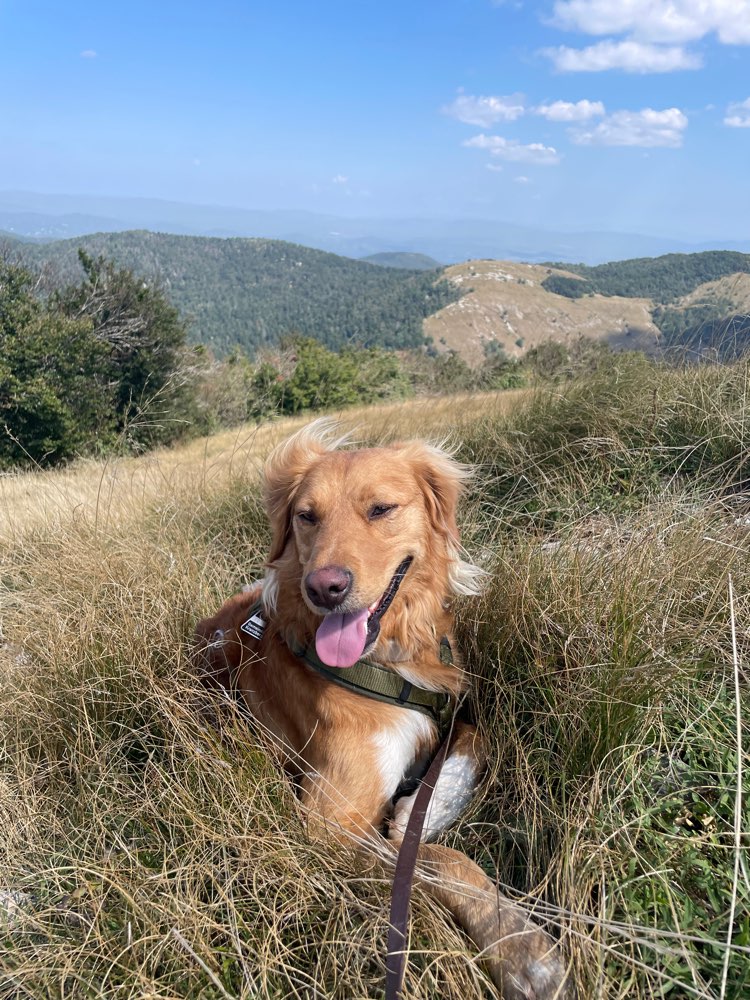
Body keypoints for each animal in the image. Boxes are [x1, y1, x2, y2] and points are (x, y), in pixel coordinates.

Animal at [195, 420, 576, 1000]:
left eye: (380, 509)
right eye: (307, 516)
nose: (324, 588)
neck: (391, 661)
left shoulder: (454, 709)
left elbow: (473, 744)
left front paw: (426, 806)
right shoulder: (328, 826)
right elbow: (436, 858)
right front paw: (522, 950)